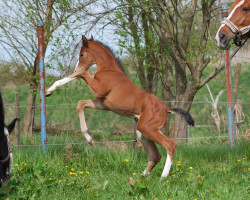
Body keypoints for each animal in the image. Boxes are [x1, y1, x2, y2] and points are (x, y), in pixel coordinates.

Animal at [47, 36, 195, 178]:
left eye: (81, 54)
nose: (75, 68)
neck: (109, 70)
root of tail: (165, 109)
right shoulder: (102, 103)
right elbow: (80, 104)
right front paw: (89, 139)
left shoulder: (98, 90)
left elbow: (82, 74)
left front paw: (50, 89)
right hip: (142, 132)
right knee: (155, 155)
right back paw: (140, 178)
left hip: (148, 129)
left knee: (170, 145)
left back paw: (163, 177)